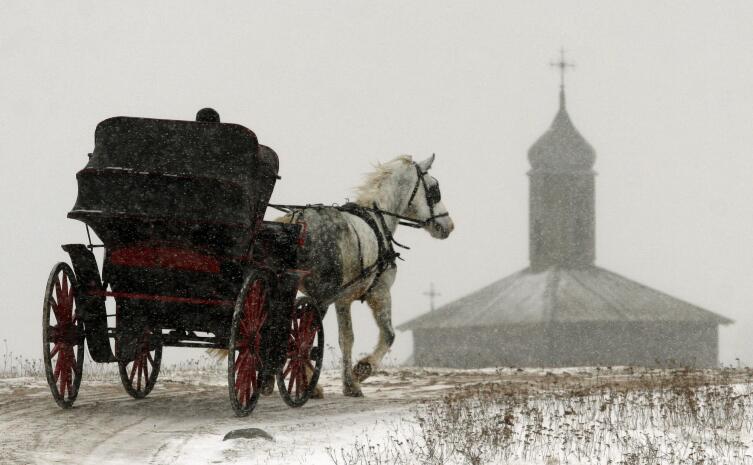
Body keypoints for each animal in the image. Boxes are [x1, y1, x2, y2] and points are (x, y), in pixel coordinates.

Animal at [282, 152, 456, 396]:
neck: (378, 220)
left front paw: (350, 382)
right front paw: (360, 372)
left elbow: (346, 338)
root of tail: (297, 220)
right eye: (434, 189)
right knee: (302, 337)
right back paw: (307, 385)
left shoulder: (343, 300)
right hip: (320, 296)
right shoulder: (379, 291)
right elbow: (387, 334)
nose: (449, 225)